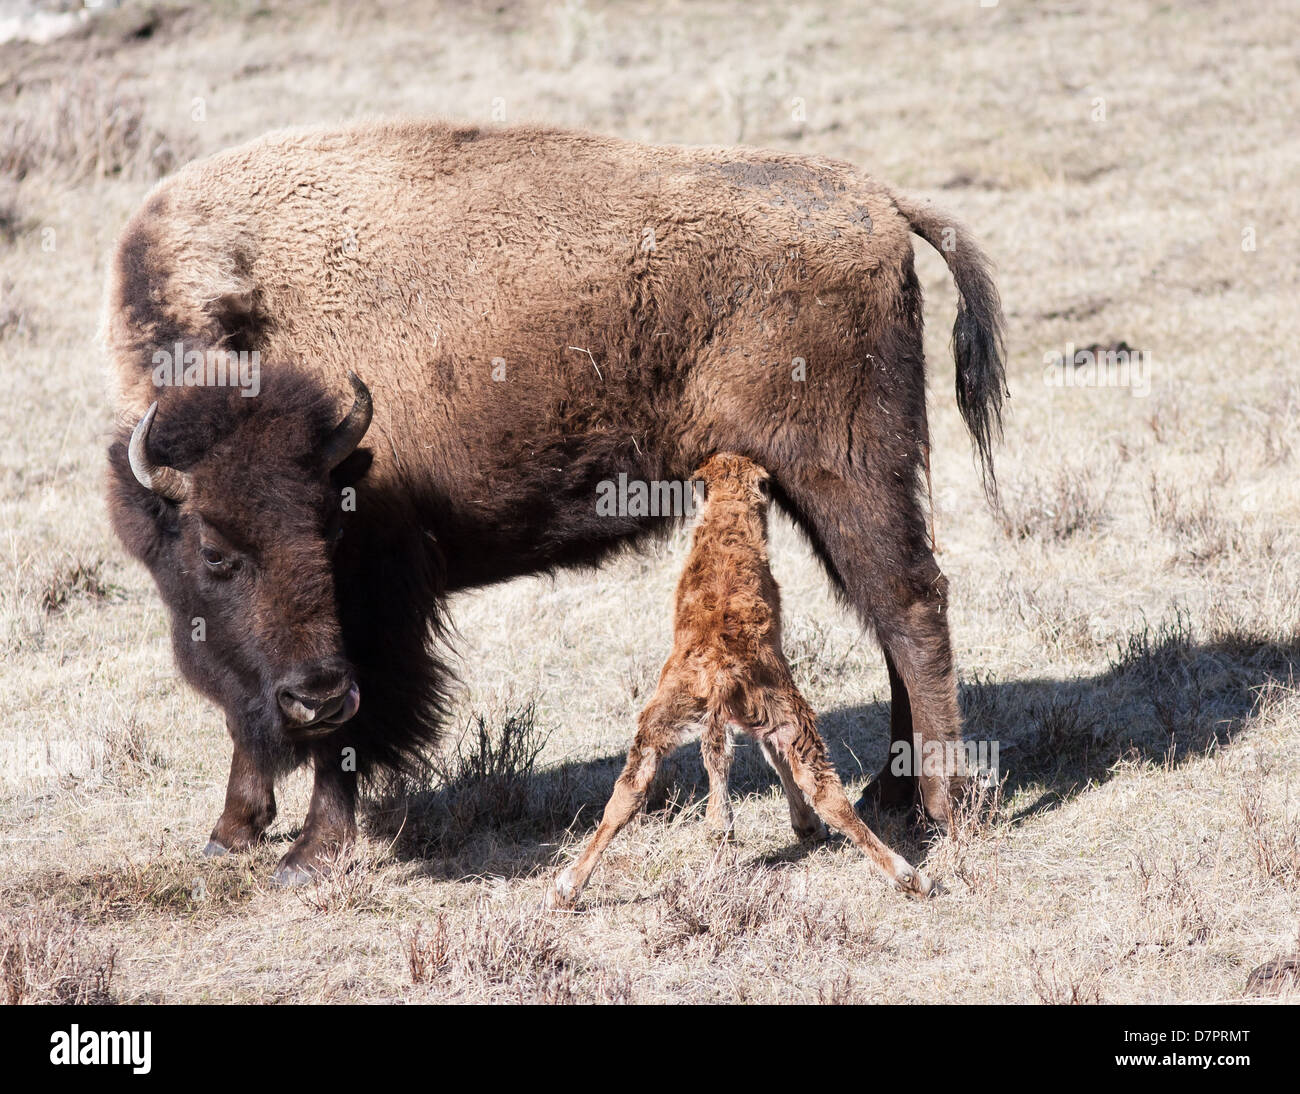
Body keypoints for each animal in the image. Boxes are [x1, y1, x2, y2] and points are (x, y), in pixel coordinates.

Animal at [103, 120, 1006, 885]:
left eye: (330, 533)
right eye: (215, 552)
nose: (313, 697)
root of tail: (878, 202)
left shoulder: (373, 607)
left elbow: (353, 733)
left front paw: (308, 856)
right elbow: (244, 707)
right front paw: (229, 834)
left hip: (846, 472)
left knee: (911, 607)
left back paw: (941, 809)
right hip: (829, 487)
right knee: (890, 613)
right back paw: (892, 793)